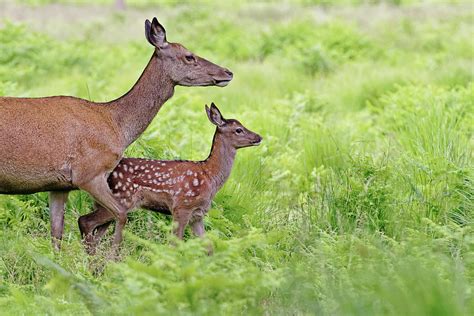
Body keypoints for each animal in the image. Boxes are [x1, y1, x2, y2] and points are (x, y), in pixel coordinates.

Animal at [0, 17, 233, 251]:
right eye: (189, 56)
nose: (228, 72)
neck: (117, 125)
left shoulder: (60, 185)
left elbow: (56, 235)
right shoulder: (89, 173)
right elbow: (121, 215)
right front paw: (111, 257)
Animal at [79, 103, 262, 254]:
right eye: (238, 129)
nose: (258, 137)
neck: (210, 176)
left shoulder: (197, 214)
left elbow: (209, 247)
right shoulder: (182, 207)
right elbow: (175, 245)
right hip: (123, 198)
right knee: (85, 220)